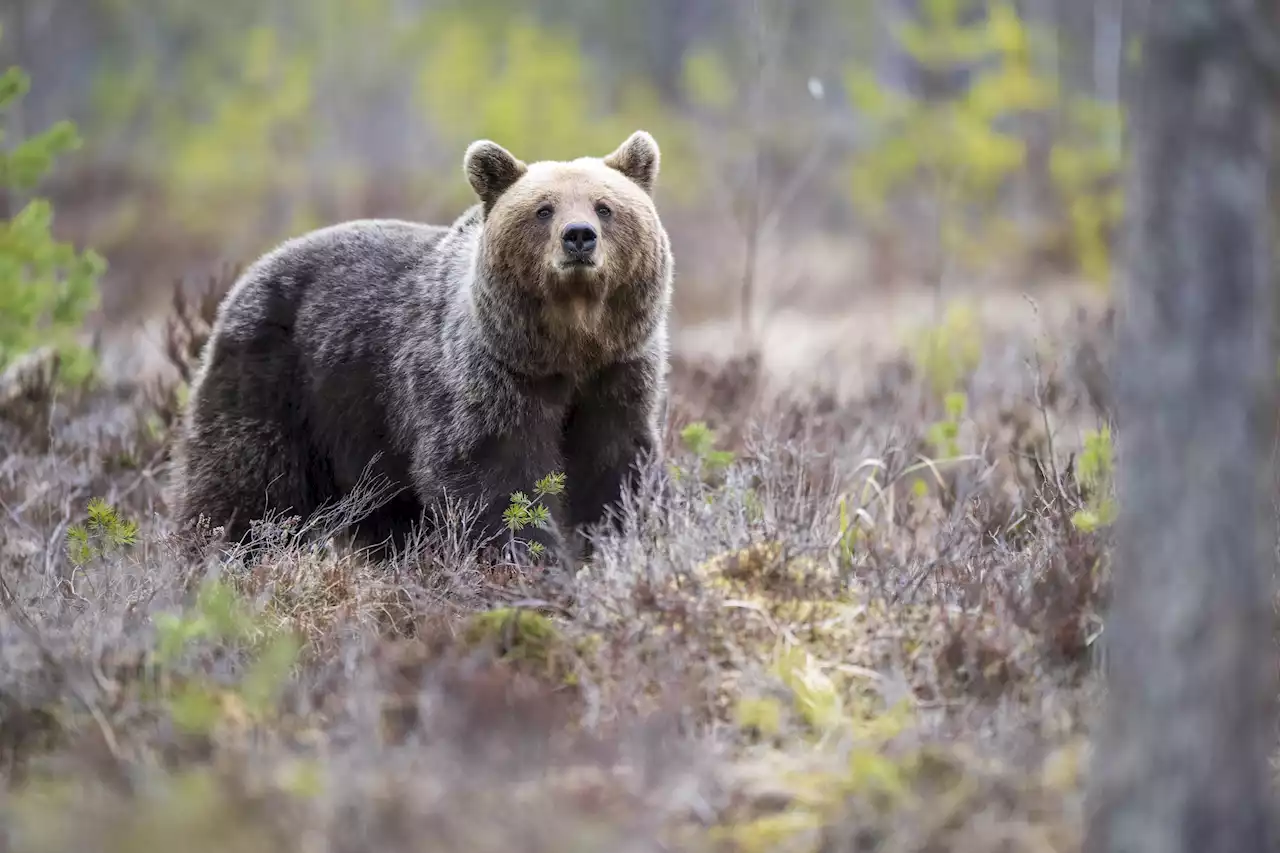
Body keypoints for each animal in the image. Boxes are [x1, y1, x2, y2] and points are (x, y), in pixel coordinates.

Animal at [170, 131, 675, 558]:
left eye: (604, 206)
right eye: (544, 209)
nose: (579, 236)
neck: (569, 347)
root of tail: (251, 271)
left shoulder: (617, 376)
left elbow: (615, 471)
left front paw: (623, 538)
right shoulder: (487, 381)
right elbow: (493, 477)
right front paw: (528, 554)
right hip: (276, 380)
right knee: (247, 484)